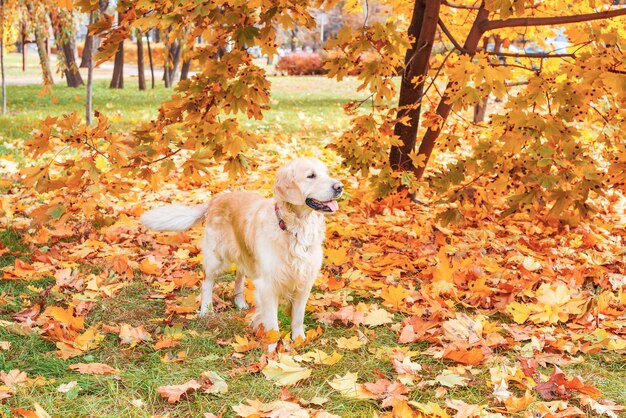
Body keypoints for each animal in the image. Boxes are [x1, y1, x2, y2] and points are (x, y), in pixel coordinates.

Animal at [139, 157, 342, 350]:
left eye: (326, 173)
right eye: (311, 176)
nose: (339, 187)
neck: (295, 229)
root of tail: (216, 199)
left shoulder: (304, 281)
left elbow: (298, 317)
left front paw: (299, 340)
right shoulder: (268, 285)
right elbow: (272, 325)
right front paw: (273, 350)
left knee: (239, 276)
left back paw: (240, 302)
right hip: (216, 257)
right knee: (207, 283)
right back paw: (206, 310)